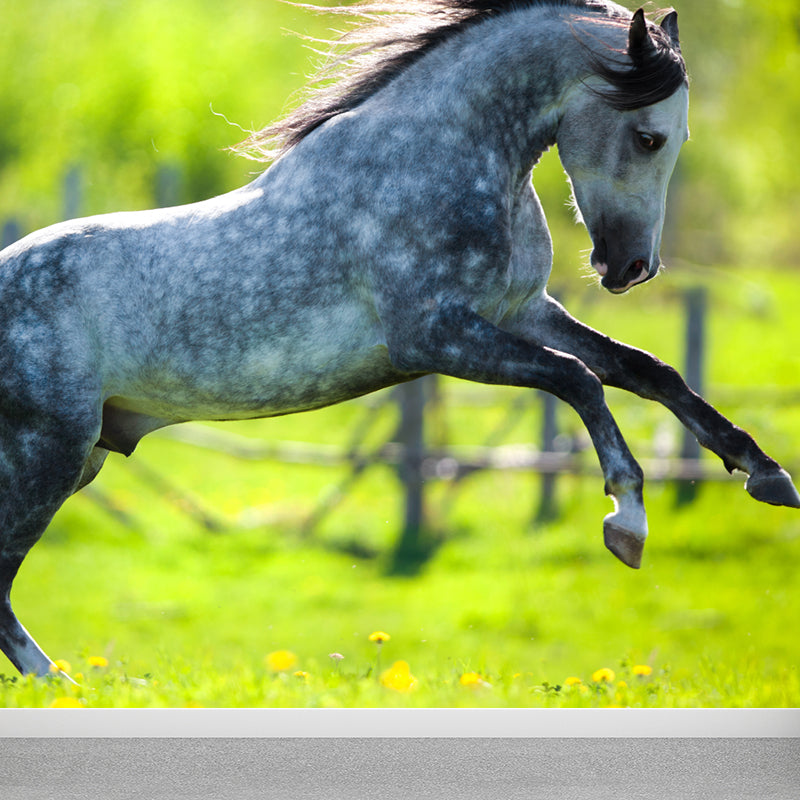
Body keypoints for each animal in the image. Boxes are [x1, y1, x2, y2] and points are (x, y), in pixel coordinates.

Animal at [1, 0, 797, 678]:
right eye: (647, 135)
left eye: (676, 138)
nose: (631, 268)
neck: (439, 159)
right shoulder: (435, 337)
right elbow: (578, 378)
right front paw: (627, 522)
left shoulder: (523, 313)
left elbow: (648, 370)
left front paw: (765, 474)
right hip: (46, 455)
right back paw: (61, 684)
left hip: (80, 458)